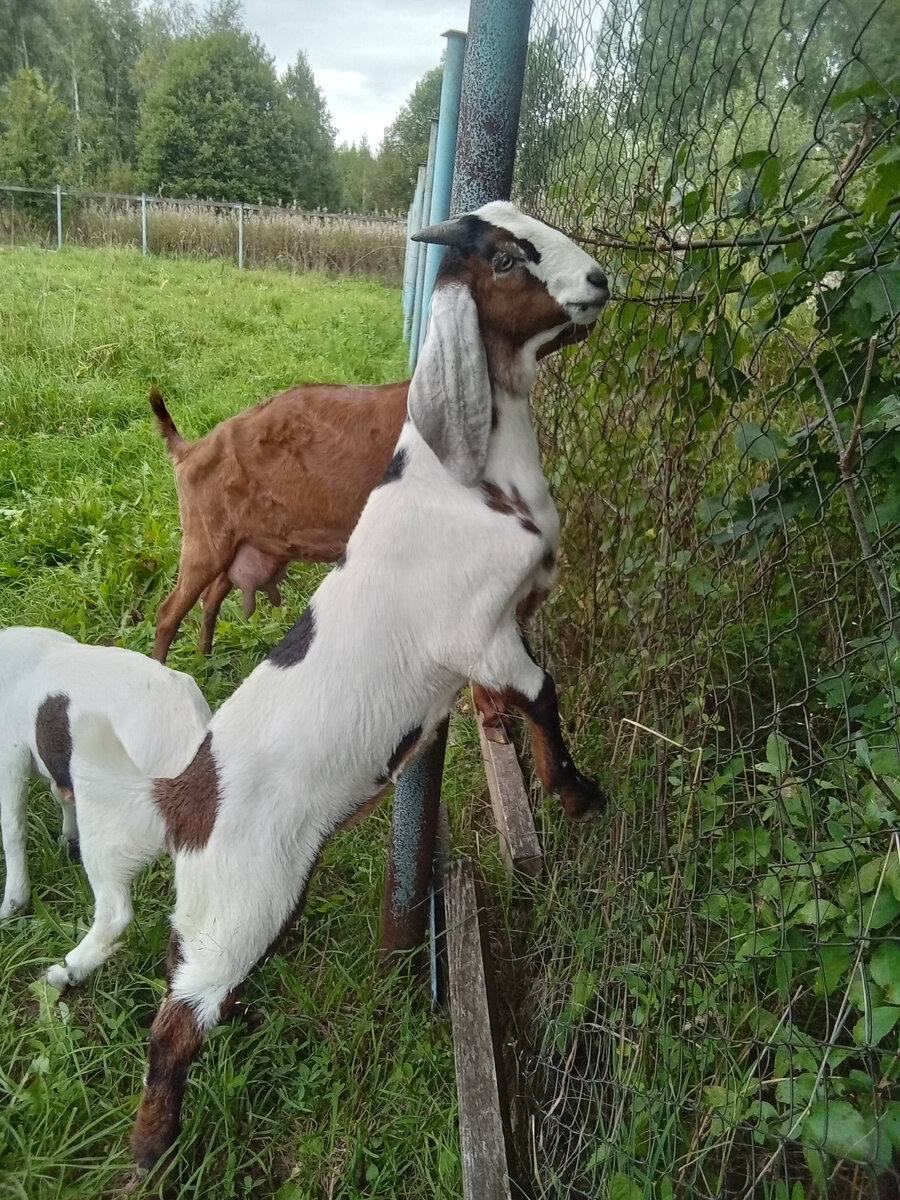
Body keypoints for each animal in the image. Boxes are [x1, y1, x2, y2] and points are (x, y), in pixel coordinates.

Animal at [72, 201, 614, 1166]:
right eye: (507, 257)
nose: (600, 281)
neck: (467, 480)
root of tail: (183, 795)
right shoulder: (480, 634)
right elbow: (541, 695)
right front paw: (575, 793)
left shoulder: (502, 626)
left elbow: (524, 701)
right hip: (243, 897)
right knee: (175, 1023)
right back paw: (152, 1151)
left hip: (234, 900)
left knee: (183, 970)